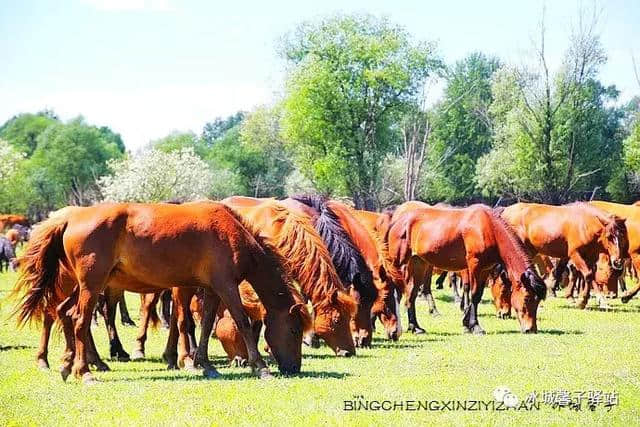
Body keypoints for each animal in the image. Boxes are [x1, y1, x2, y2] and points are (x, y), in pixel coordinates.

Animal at [13, 201, 312, 384]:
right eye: (295, 330)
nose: (294, 368)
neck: (231, 232)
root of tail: (70, 216)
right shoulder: (226, 287)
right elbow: (242, 323)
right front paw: (260, 367)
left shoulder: (212, 290)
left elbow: (205, 326)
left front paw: (204, 364)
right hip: (91, 286)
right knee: (78, 321)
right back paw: (84, 371)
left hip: (84, 287)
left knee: (63, 312)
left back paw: (68, 365)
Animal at [388, 204, 548, 334]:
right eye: (527, 298)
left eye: (538, 301)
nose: (531, 329)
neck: (489, 228)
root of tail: (398, 221)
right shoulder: (474, 265)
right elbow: (474, 294)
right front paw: (475, 326)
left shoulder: (484, 269)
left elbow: (477, 295)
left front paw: (466, 323)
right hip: (399, 265)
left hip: (418, 264)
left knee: (411, 294)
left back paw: (415, 327)